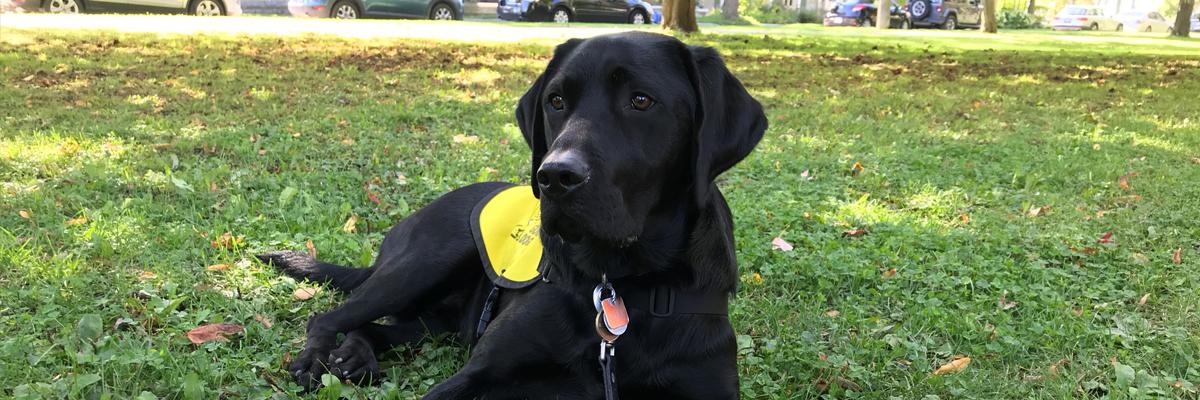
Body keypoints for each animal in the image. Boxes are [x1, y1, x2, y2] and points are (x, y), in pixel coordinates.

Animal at [259, 31, 768, 398]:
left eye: (641, 100)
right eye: (556, 101)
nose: (554, 177)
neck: (622, 287)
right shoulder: (478, 375)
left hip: (438, 318)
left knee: (376, 328)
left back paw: (356, 356)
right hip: (425, 262)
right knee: (327, 318)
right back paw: (317, 360)